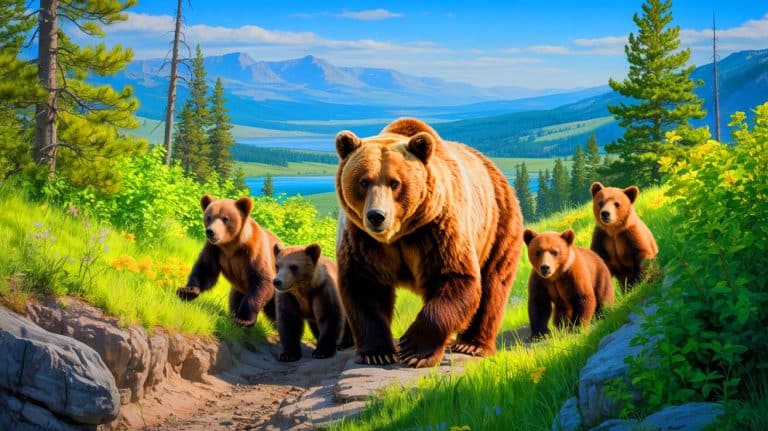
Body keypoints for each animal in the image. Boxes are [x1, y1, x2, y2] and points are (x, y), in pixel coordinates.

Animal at [177, 194, 280, 326]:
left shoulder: (255, 252)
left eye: (225, 219)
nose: (211, 232)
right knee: (235, 299)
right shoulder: (214, 249)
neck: (231, 245)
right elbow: (205, 269)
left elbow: (262, 281)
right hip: (239, 288)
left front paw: (244, 319)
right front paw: (187, 291)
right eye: (209, 217)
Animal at [335, 117, 524, 368]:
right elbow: (365, 285)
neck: (399, 234)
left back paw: (472, 344)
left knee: (493, 282)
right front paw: (377, 353)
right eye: (364, 181)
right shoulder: (362, 240)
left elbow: (455, 277)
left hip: (499, 223)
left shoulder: (437, 230)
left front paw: (414, 350)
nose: (377, 215)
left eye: (395, 183)